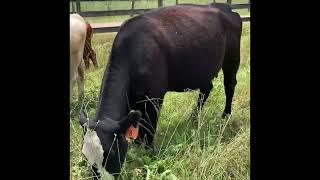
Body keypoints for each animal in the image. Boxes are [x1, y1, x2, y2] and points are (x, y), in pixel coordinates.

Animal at [79, 2, 241, 179]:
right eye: (85, 156)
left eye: (111, 153)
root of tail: (224, 7)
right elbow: (139, 127)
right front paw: (138, 146)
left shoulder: (154, 98)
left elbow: (149, 128)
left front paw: (149, 154)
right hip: (204, 69)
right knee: (206, 89)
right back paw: (193, 118)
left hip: (232, 59)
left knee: (230, 85)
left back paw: (225, 115)